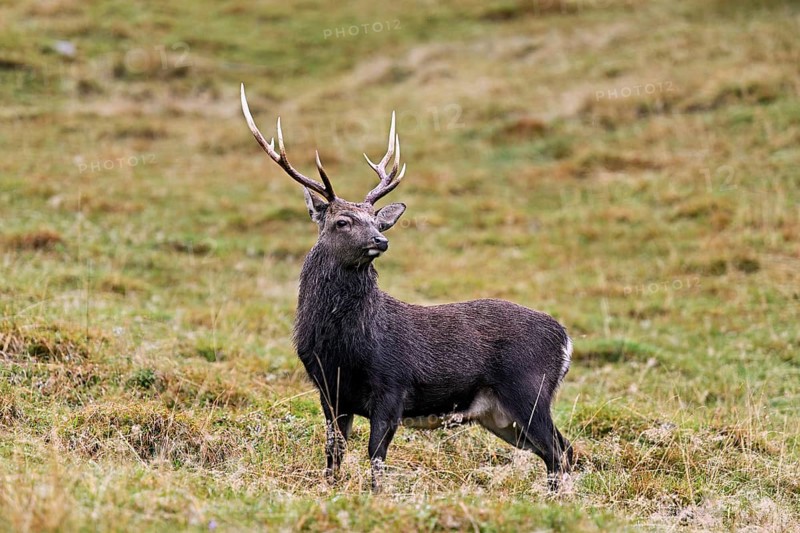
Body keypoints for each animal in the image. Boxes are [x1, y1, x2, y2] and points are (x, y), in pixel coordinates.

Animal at [240, 84, 574, 492]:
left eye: (375, 219)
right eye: (341, 221)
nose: (380, 240)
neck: (345, 346)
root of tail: (565, 339)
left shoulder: (393, 385)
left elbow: (375, 456)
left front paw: (375, 496)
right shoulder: (329, 392)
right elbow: (334, 453)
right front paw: (330, 489)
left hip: (530, 389)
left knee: (559, 449)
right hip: (500, 415)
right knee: (559, 449)